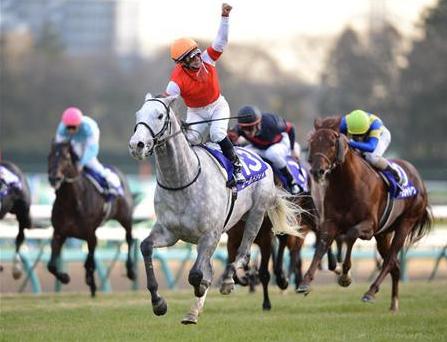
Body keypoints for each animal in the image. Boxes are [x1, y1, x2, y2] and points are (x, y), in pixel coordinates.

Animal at [130, 93, 304, 324]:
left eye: (159, 115)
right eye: (138, 114)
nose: (137, 145)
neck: (182, 181)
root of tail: (260, 159)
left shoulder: (210, 235)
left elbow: (196, 274)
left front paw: (203, 286)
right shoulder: (169, 233)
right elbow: (146, 247)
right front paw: (158, 303)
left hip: (256, 215)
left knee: (243, 253)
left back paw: (229, 281)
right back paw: (193, 312)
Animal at [298, 116, 434, 312]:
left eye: (332, 143)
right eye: (312, 142)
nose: (317, 171)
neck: (348, 185)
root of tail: (418, 177)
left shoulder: (369, 226)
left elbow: (351, 234)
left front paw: (345, 276)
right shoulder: (330, 223)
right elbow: (322, 246)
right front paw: (305, 282)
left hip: (405, 224)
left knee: (390, 260)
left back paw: (370, 292)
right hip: (383, 234)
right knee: (395, 265)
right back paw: (394, 303)